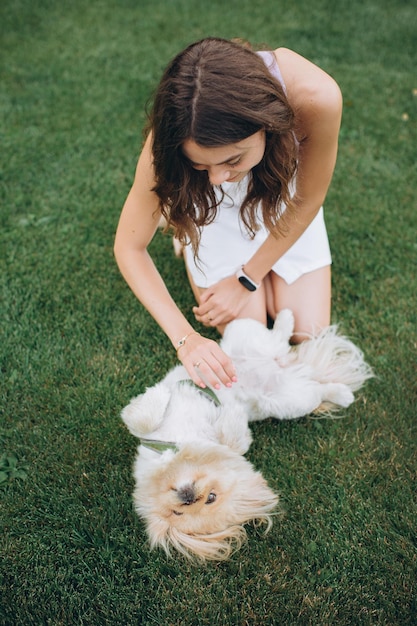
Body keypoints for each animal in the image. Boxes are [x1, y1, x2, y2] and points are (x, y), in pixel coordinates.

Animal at [120, 310, 370, 560]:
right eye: (178, 512)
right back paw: (341, 393)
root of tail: (285, 367)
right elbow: (234, 438)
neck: (179, 443)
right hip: (289, 401)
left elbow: (139, 418)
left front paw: (160, 393)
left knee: (277, 342)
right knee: (315, 387)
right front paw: (232, 412)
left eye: (211, 497)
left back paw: (285, 320)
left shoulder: (146, 426)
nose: (190, 497)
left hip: (239, 332)